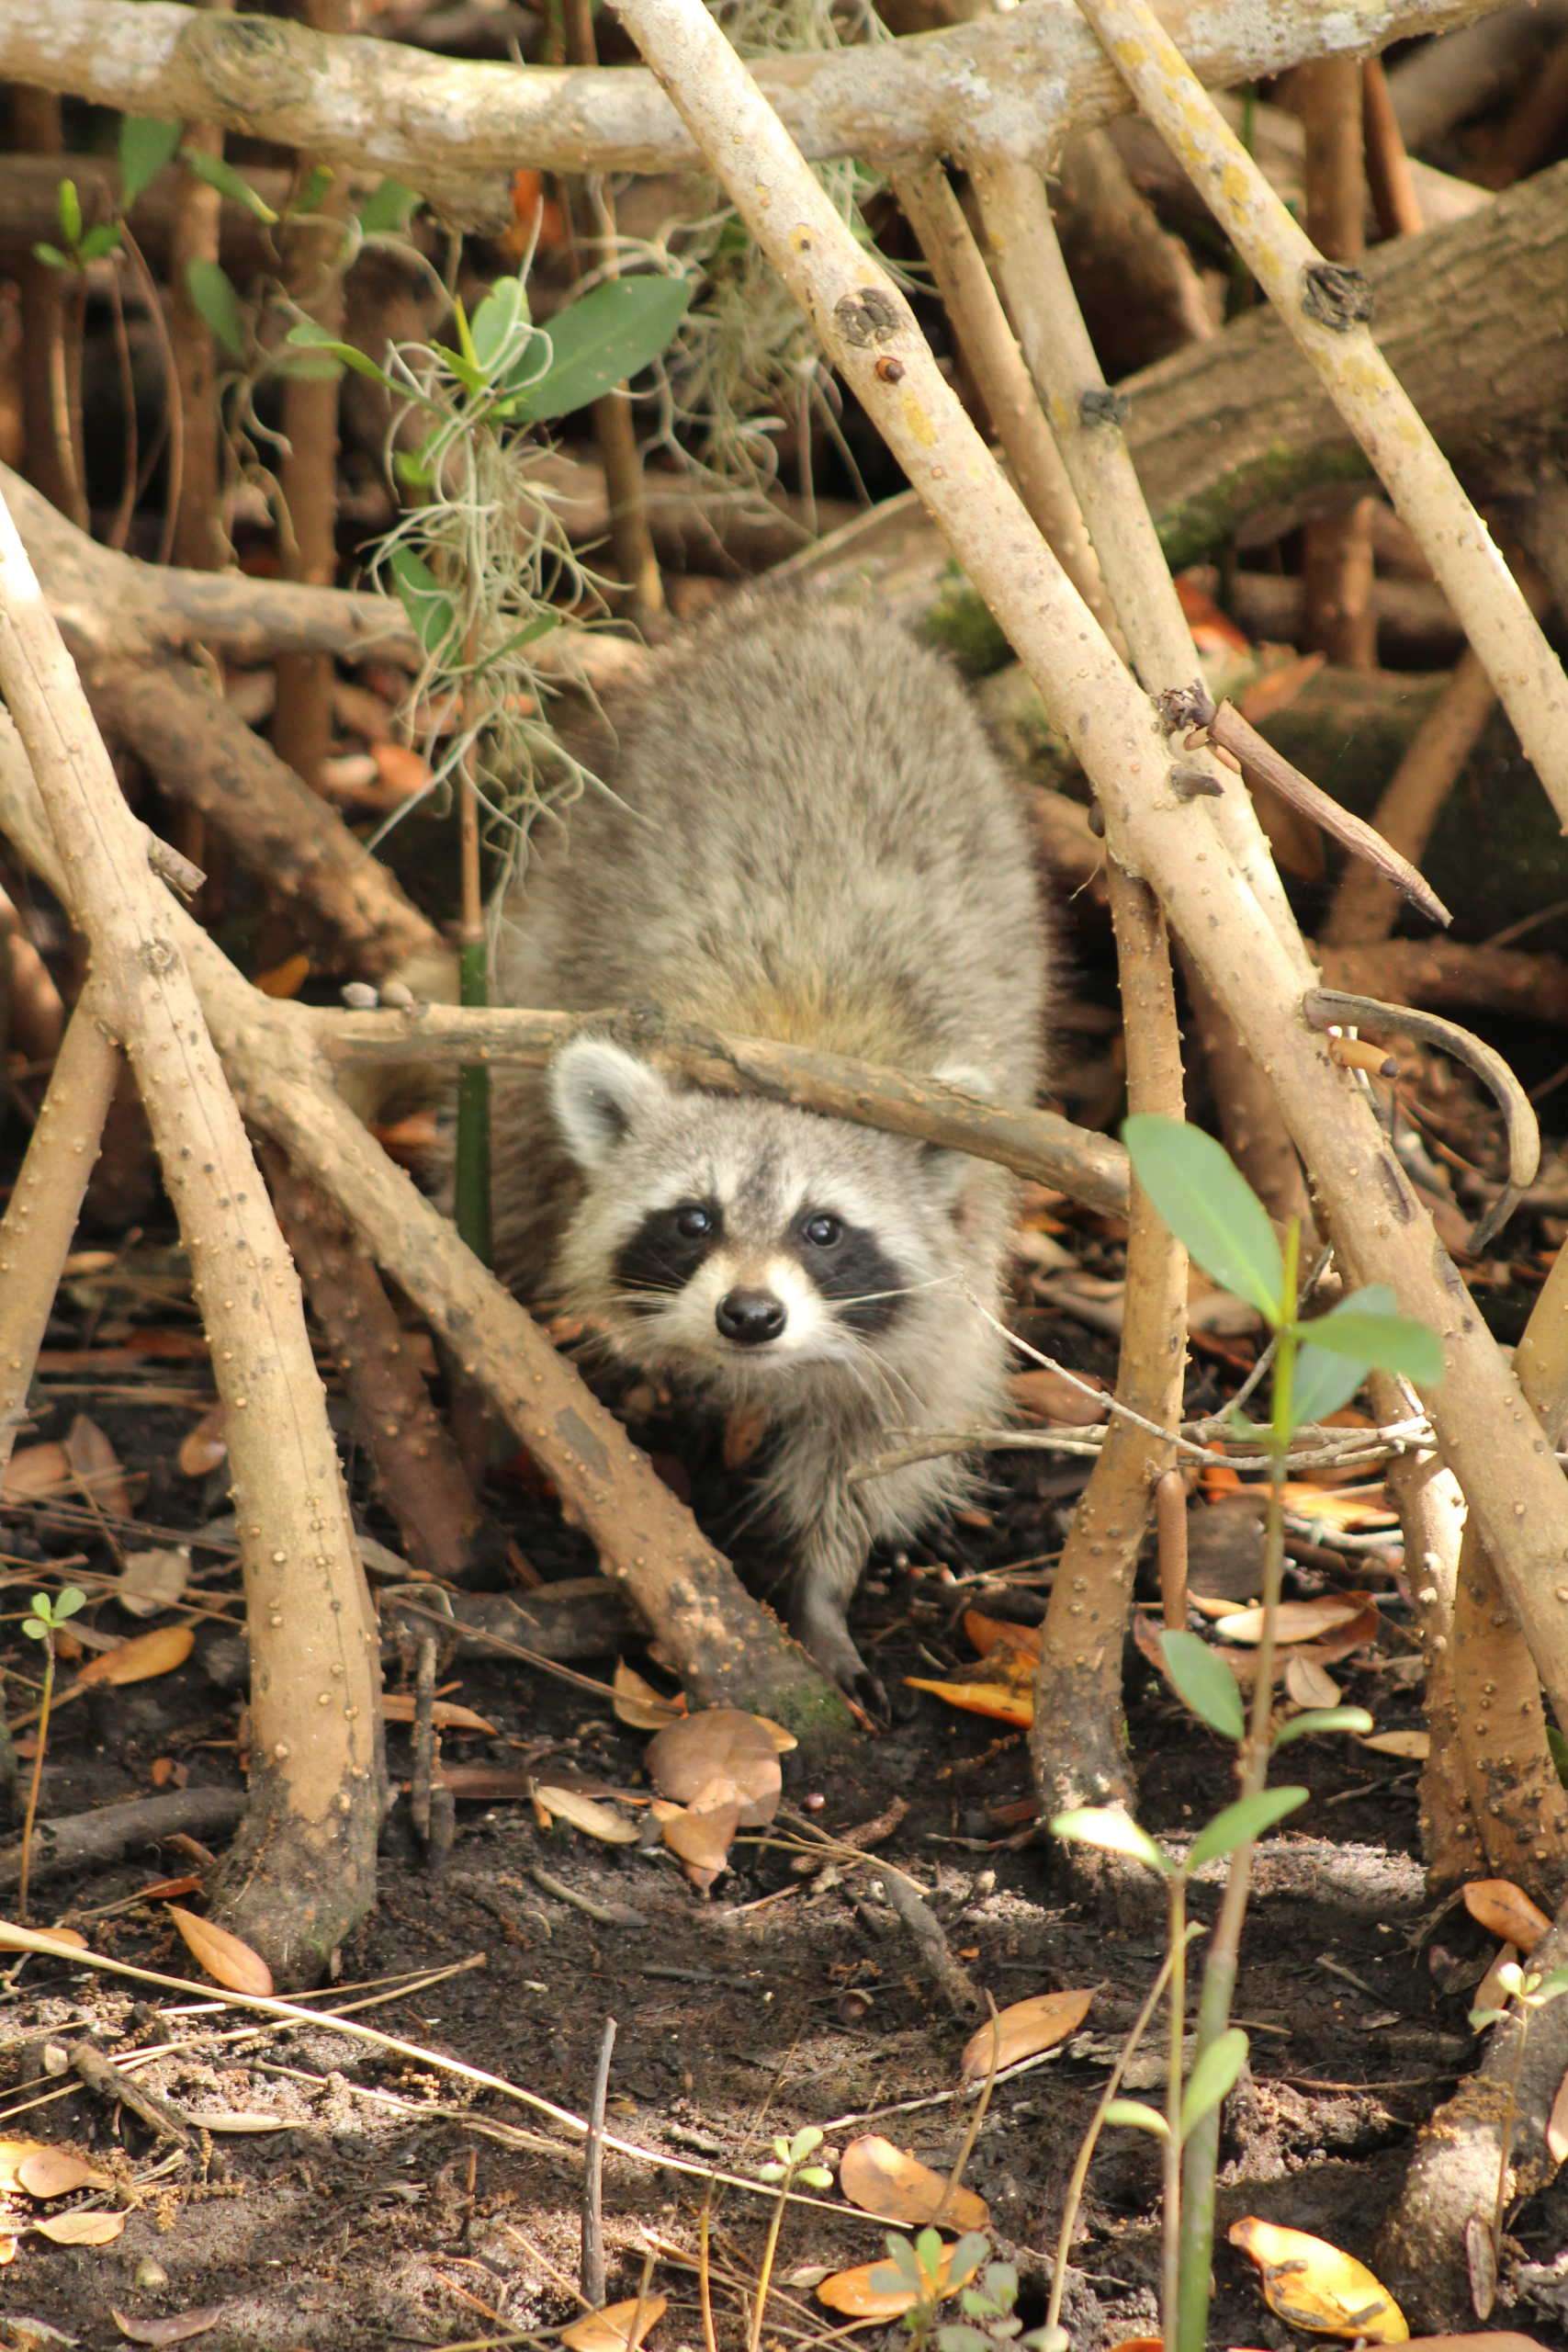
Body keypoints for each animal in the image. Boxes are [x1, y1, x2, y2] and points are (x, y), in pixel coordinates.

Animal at [490, 598, 1048, 1700]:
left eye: (822, 1229)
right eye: (694, 1220)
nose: (748, 1317)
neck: (792, 1045)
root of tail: (820, 612)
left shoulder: (948, 1290)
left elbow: (883, 1444)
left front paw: (825, 1584)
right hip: (570, 882)